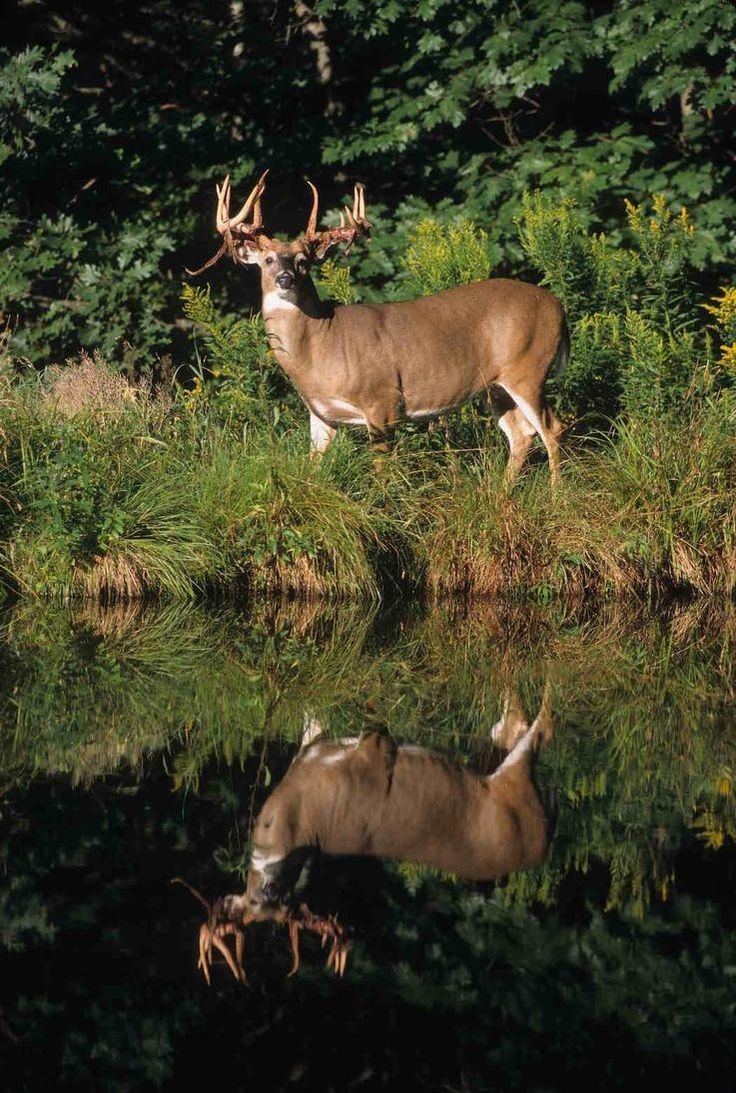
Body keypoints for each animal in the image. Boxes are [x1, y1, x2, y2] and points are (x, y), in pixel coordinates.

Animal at [176, 682, 551, 983]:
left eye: (268, 900)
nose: (258, 896)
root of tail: (544, 840)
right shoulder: (327, 743)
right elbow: (315, 715)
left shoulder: (372, 755)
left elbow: (370, 725)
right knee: (516, 729)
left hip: (516, 781)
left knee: (540, 730)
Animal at [188, 171, 568, 487]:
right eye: (268, 260)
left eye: (303, 262)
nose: (285, 279)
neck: (319, 347)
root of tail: (558, 307)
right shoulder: (321, 415)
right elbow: (312, 469)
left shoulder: (382, 401)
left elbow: (382, 473)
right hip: (496, 386)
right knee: (521, 433)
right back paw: (502, 496)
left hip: (529, 367)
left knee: (552, 428)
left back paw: (556, 496)